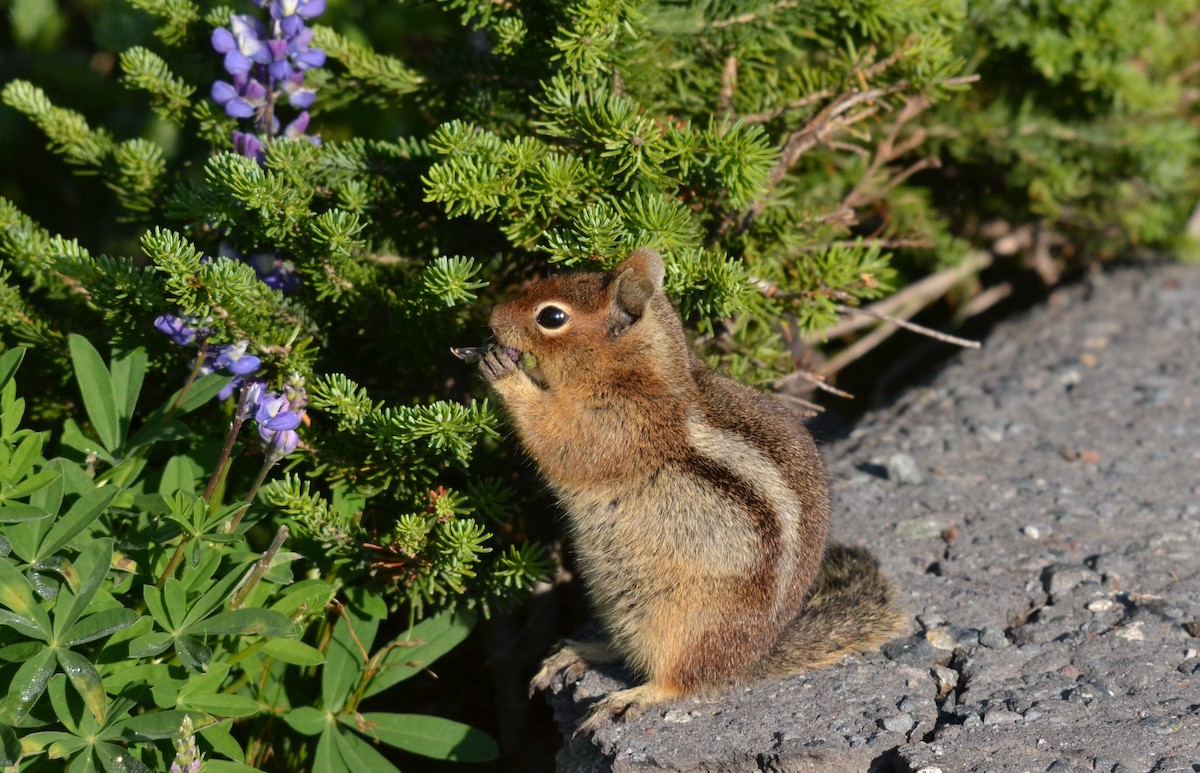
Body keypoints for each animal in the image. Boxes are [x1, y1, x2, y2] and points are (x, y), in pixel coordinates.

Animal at [475, 247, 905, 736]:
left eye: (551, 316)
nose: (492, 314)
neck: (636, 370)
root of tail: (747, 663)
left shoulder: (614, 428)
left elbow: (557, 442)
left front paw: (502, 373)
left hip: (685, 625)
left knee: (680, 681)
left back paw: (631, 696)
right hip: (625, 608)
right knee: (625, 650)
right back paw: (581, 652)